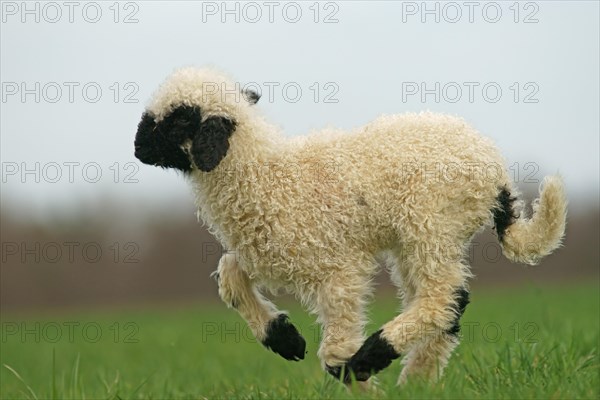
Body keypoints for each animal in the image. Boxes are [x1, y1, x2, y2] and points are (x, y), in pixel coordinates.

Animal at [135, 67, 568, 386]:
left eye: (178, 120)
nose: (137, 147)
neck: (267, 176)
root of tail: (497, 174)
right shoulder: (266, 253)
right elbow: (229, 276)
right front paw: (285, 340)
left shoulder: (339, 271)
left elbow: (333, 353)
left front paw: (354, 371)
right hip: (418, 239)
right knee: (450, 303)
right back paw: (416, 381)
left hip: (430, 222)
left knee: (443, 298)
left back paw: (377, 356)